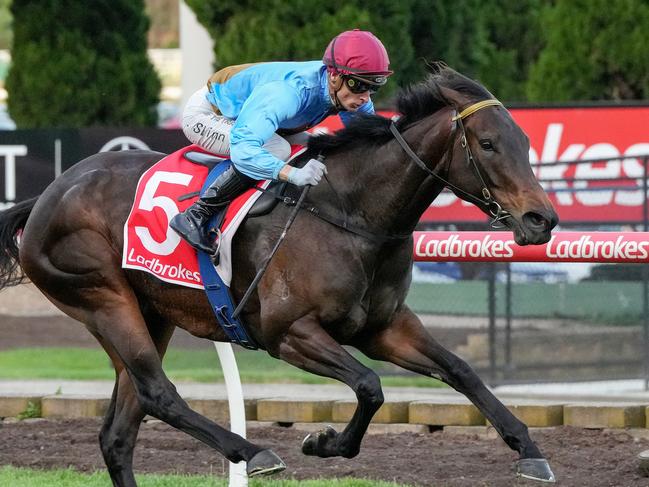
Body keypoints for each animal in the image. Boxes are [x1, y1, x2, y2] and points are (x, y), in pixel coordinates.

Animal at [0, 66, 556, 487]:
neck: (352, 211)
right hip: (103, 298)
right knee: (159, 391)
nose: (542, 219)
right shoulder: (288, 333)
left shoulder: (385, 327)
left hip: (151, 314)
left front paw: (528, 448)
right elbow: (370, 385)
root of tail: (49, 193)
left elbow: (461, 370)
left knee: (119, 433)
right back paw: (253, 452)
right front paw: (324, 442)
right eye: (488, 144)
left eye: (525, 141)